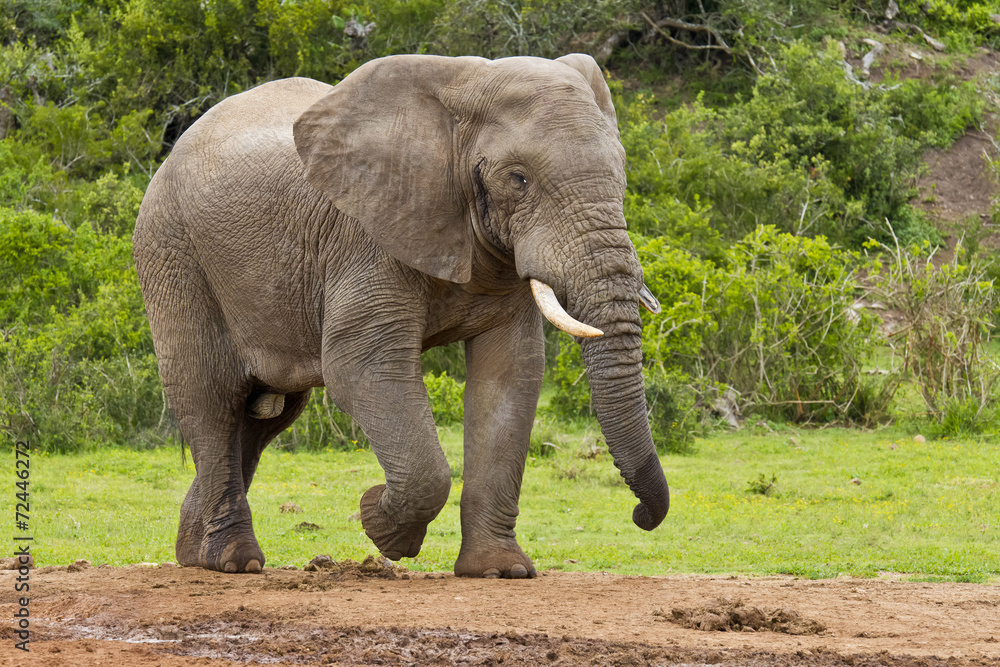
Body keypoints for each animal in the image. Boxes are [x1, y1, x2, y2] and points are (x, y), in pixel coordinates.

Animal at [133, 53, 670, 578]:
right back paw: (233, 560)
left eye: (622, 173)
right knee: (212, 399)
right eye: (518, 179)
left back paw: (195, 553)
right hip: (173, 251)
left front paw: (500, 572)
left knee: (264, 417)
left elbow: (509, 375)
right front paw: (378, 522)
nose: (641, 515)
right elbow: (361, 366)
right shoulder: (365, 235)